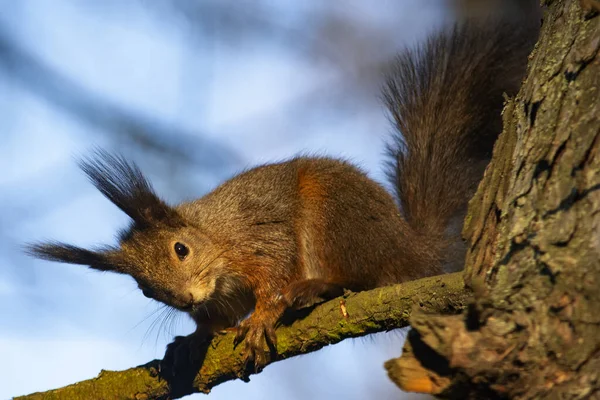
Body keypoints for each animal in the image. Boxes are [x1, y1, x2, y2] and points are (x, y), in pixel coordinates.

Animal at [27, 18, 536, 376]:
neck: (216, 236)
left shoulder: (258, 235)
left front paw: (261, 317)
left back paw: (315, 287)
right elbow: (217, 317)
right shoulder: (220, 294)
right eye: (144, 288)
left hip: (334, 213)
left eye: (181, 249)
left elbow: (273, 271)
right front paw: (192, 340)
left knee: (363, 277)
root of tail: (410, 249)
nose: (186, 299)